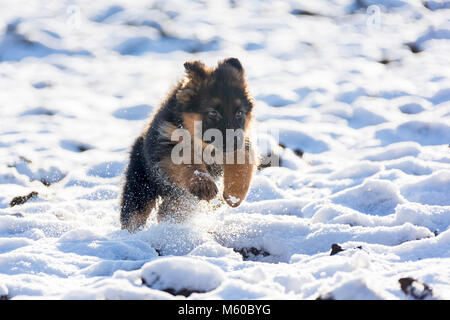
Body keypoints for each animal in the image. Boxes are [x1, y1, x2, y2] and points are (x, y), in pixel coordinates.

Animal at [119, 57, 256, 231]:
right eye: (213, 113)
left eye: (239, 113)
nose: (233, 144)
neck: (204, 145)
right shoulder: (167, 144)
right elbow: (188, 161)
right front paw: (204, 185)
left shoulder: (244, 141)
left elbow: (243, 164)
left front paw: (234, 195)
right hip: (141, 186)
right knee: (134, 215)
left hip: (180, 199)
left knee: (167, 211)